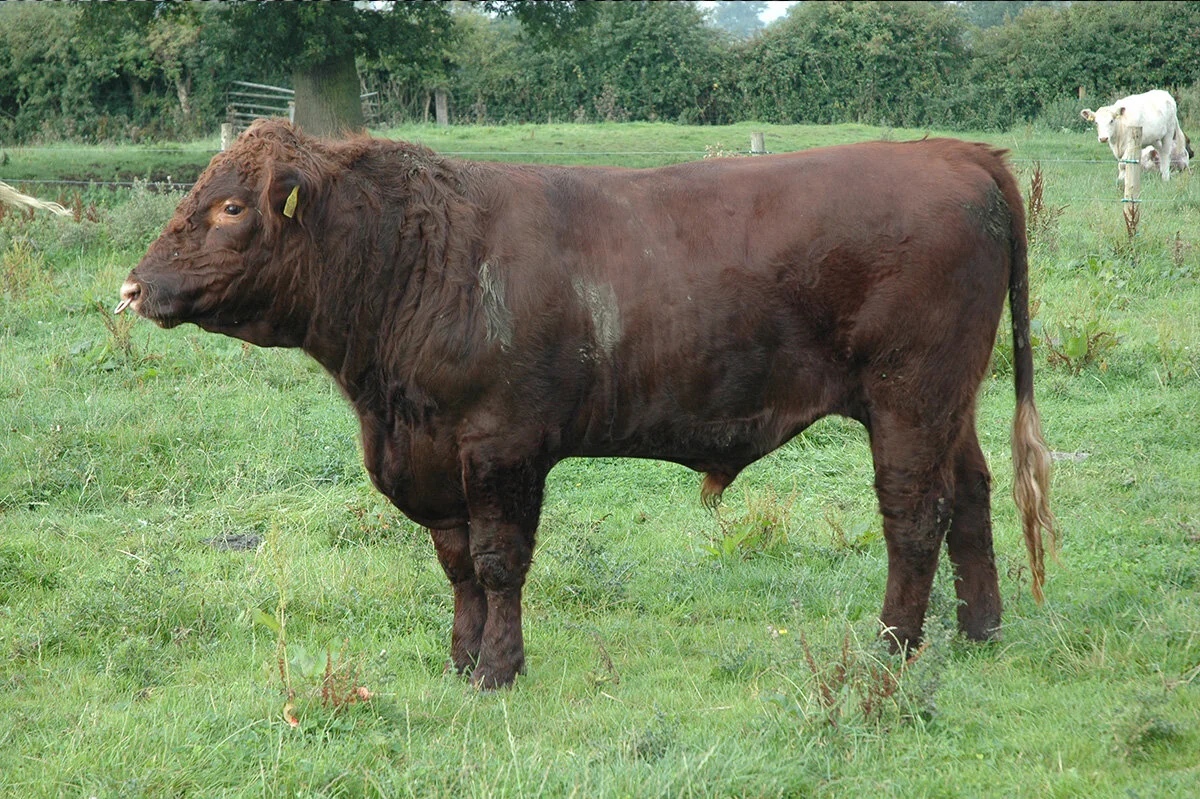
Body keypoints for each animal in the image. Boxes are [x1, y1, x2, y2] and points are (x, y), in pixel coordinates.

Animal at [117, 120, 1055, 689]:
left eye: (230, 206)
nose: (133, 285)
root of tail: (957, 152)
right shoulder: (435, 454)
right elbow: (457, 564)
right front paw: (460, 658)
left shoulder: (501, 445)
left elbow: (499, 561)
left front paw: (498, 669)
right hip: (947, 403)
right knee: (971, 495)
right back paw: (980, 627)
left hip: (909, 397)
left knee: (915, 515)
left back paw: (892, 647)